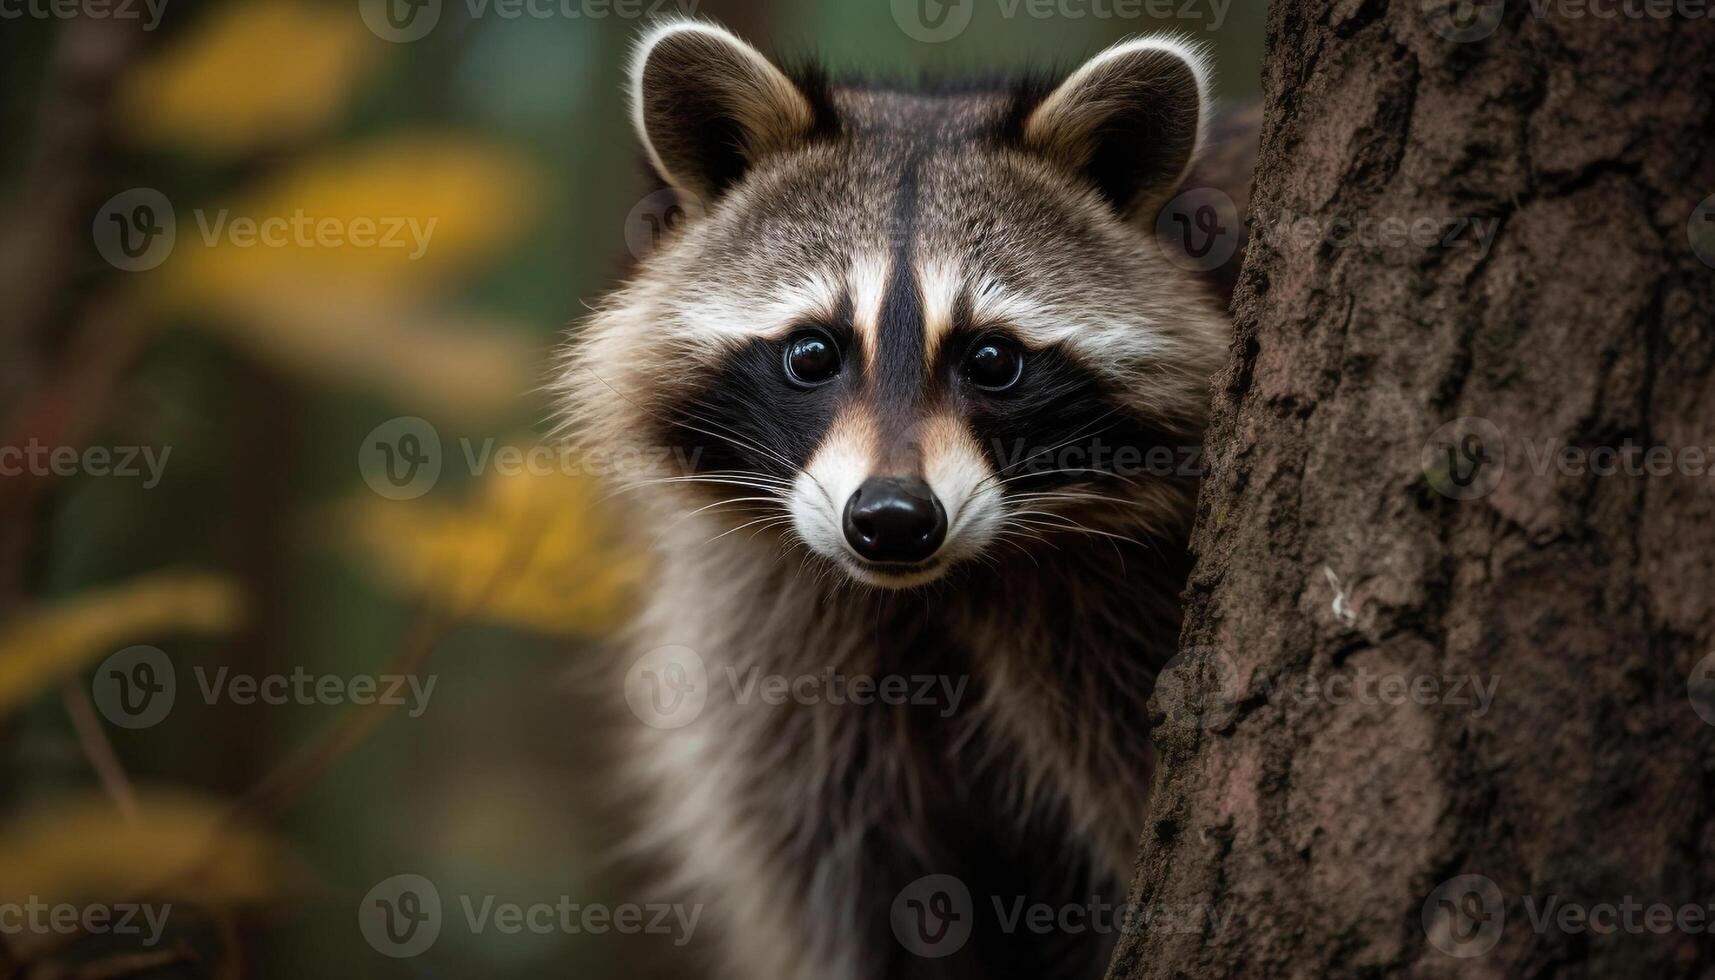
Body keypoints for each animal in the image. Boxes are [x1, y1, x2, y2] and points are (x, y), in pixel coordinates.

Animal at [562, 21, 1248, 980]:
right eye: (812, 353)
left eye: (992, 360)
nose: (891, 522)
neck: (937, 591)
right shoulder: (781, 651)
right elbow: (846, 893)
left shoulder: (1117, 624)